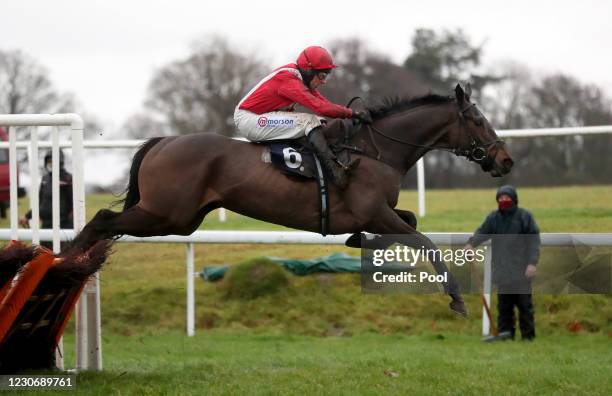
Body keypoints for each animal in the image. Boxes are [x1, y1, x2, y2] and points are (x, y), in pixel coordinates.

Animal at [70, 84, 512, 316]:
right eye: (478, 120)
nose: (505, 159)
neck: (375, 150)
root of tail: (163, 142)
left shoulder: (380, 214)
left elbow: (410, 224)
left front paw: (359, 242)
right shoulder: (375, 212)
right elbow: (425, 242)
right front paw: (457, 299)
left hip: (180, 219)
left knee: (106, 223)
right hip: (167, 215)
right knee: (102, 219)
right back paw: (68, 260)